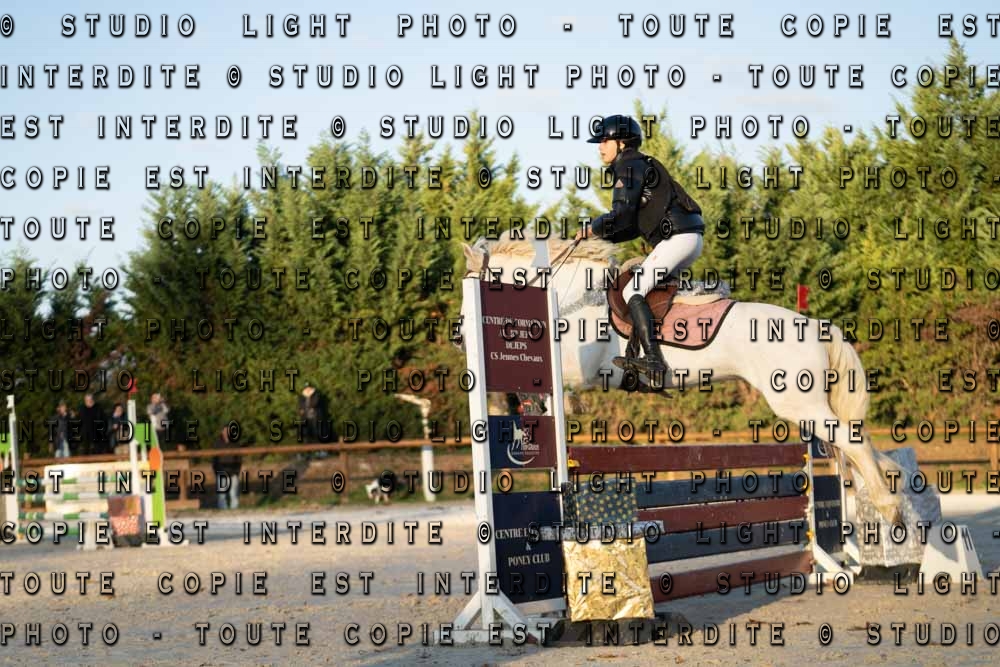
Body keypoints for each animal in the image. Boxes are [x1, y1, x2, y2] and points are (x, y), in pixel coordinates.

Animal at [461, 232, 904, 525]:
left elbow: (551, 387)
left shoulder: (577, 366)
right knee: (856, 441)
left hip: (799, 404)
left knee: (853, 441)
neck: (570, 296)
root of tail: (814, 326)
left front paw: (537, 410)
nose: (461, 336)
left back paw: (889, 506)